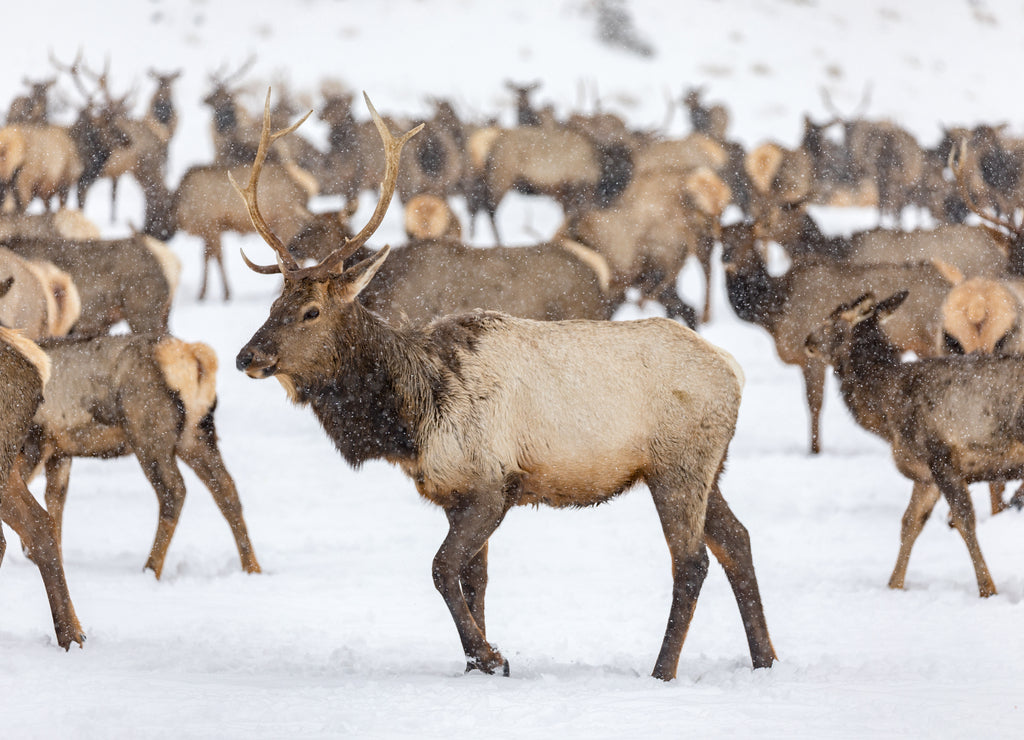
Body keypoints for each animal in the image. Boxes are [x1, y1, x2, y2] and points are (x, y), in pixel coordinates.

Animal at [20, 331, 262, 577]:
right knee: (225, 487)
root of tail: (196, 357)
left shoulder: (34, 441)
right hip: (196, 435)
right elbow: (54, 500)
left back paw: (151, 568)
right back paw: (252, 567)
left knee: (174, 490)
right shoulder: (59, 451)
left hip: (149, 433)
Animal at [232, 92, 774, 683]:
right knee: (739, 540)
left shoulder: (494, 484)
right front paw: (479, 664)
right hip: (707, 467)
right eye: (273, 304)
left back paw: (663, 670)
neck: (411, 418)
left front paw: (493, 656)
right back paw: (764, 659)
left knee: (692, 560)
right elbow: (473, 579)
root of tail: (733, 370)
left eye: (310, 310)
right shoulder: (453, 492)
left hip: (678, 464)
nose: (247, 355)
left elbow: (440, 569)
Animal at [802, 292, 1024, 597]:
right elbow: (909, 523)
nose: (807, 342)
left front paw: (988, 590)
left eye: (830, 319)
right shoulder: (925, 473)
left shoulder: (940, 454)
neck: (886, 412)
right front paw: (894, 585)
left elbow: (964, 519)